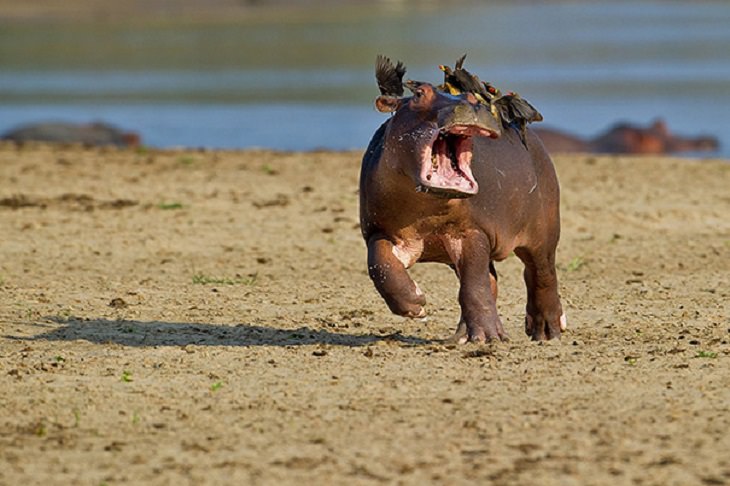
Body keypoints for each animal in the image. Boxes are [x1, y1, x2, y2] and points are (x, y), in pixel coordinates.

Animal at [358, 58, 564, 342]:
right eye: (419, 94)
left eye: (471, 97)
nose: (471, 105)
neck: (425, 209)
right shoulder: (379, 230)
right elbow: (380, 264)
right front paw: (416, 305)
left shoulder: (472, 231)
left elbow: (474, 284)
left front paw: (490, 338)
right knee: (492, 281)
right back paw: (462, 336)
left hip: (544, 231)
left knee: (541, 274)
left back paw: (546, 332)